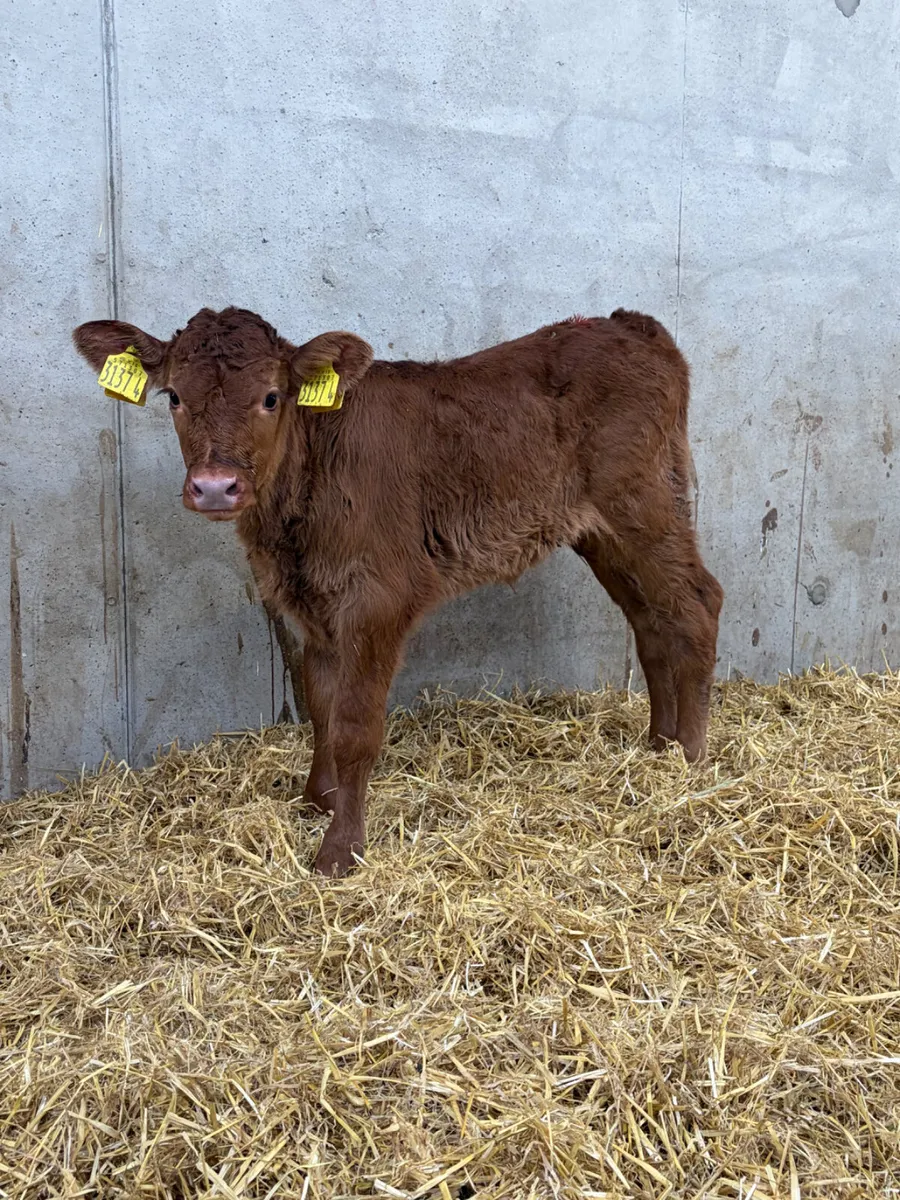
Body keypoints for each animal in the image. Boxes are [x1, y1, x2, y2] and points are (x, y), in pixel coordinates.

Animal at [73, 307, 723, 876]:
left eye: (271, 397)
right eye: (174, 397)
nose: (214, 486)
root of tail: (627, 324)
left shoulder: (377, 600)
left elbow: (355, 727)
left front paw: (340, 850)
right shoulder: (312, 606)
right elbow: (320, 707)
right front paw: (318, 800)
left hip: (643, 503)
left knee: (698, 603)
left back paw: (690, 760)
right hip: (603, 531)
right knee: (652, 620)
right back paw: (657, 747)